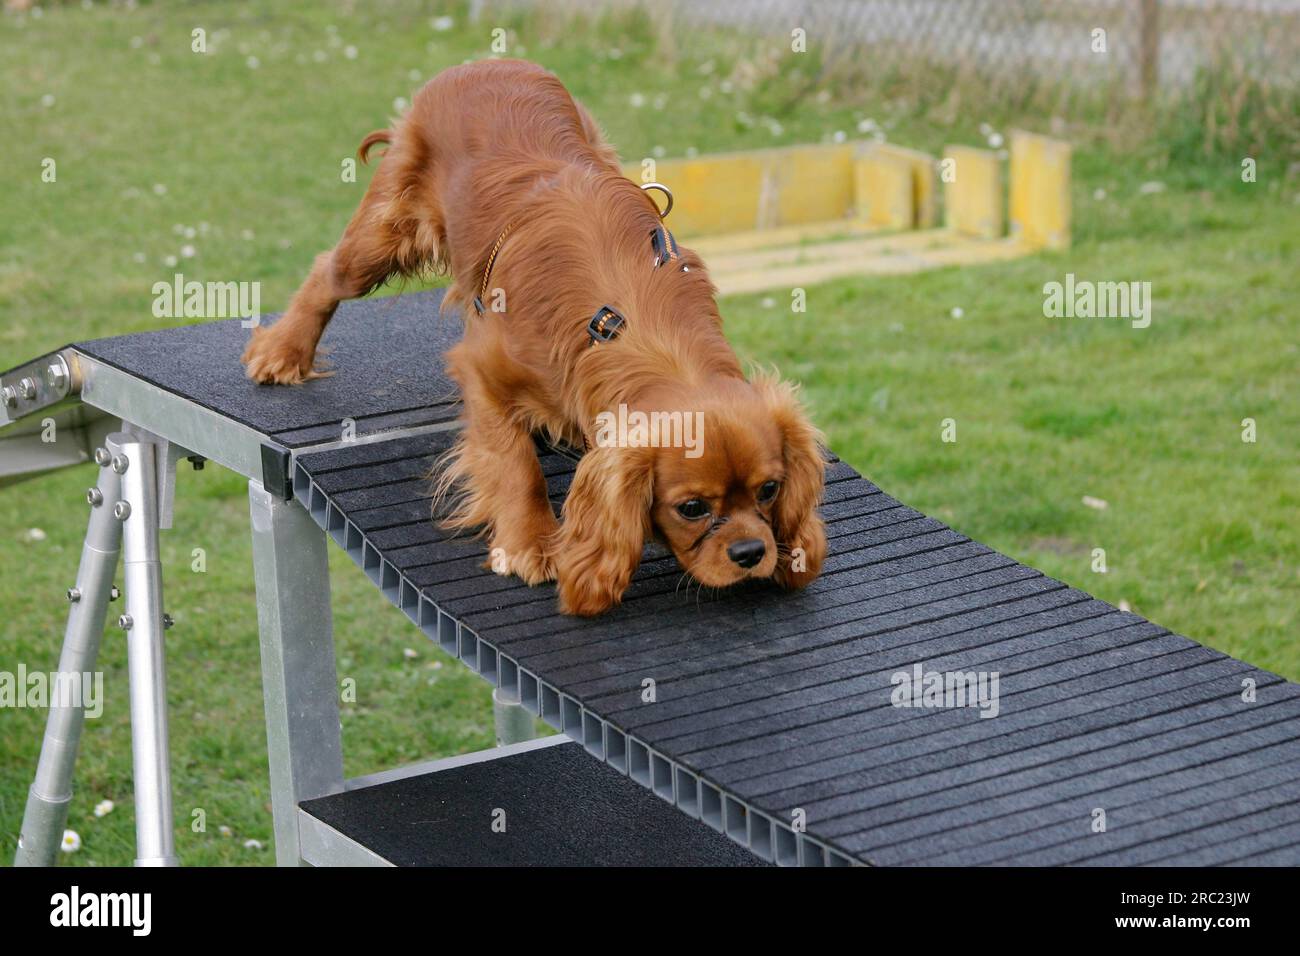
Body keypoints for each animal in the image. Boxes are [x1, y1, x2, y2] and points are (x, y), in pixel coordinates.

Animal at [244, 59, 821, 616]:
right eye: (693, 508)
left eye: (770, 489)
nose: (751, 552)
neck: (628, 329)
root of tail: (482, 64)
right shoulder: (482, 369)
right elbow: (515, 462)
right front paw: (531, 544)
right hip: (381, 237)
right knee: (327, 270)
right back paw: (282, 351)